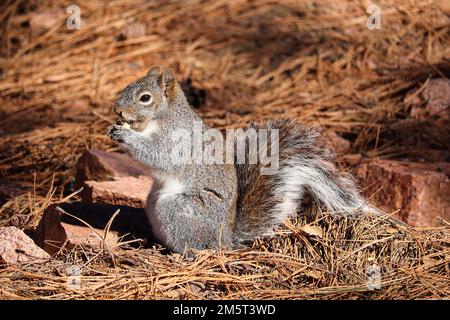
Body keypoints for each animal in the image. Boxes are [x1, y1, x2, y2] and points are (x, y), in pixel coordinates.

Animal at [107, 65, 374, 255]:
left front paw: (125, 135)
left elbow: (158, 155)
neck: (162, 117)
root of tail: (226, 240)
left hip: (177, 209)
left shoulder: (177, 140)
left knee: (195, 246)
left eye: (145, 98)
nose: (117, 110)